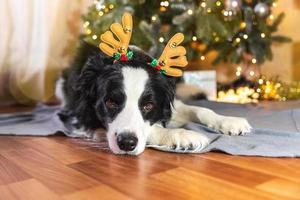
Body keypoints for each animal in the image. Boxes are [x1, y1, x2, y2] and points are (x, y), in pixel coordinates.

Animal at [55, 41, 252, 155]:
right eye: (110, 102)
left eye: (148, 105)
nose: (126, 144)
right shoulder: (83, 116)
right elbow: (151, 129)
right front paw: (184, 136)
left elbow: (201, 110)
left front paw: (229, 122)